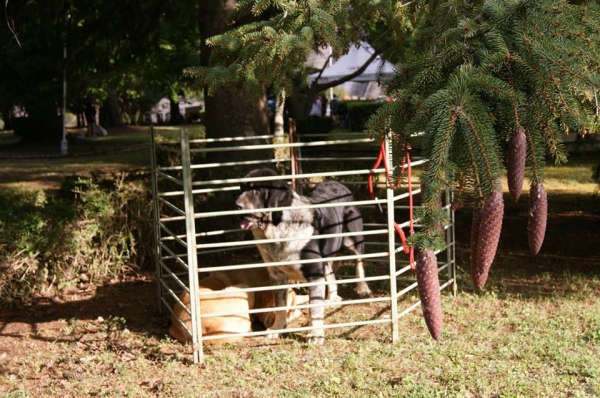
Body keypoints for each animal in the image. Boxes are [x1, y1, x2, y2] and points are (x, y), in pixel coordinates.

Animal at [236, 166, 370, 344]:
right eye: (242, 188)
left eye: (257, 190)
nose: (236, 206)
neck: (280, 230)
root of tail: (337, 183)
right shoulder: (277, 276)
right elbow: (280, 306)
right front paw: (277, 328)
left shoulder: (314, 273)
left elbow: (314, 308)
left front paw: (316, 335)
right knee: (331, 275)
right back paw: (332, 299)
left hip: (353, 238)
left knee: (359, 261)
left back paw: (363, 288)